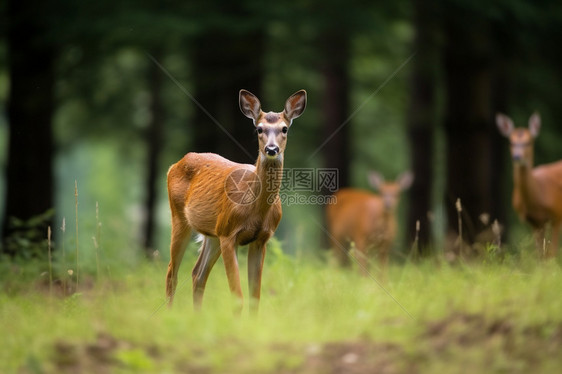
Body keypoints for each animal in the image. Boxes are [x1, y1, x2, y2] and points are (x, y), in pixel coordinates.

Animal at [165, 89, 306, 314]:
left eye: (284, 128)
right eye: (259, 129)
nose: (271, 149)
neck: (256, 209)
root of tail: (174, 165)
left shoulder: (261, 239)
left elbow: (255, 297)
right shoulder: (229, 234)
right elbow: (238, 296)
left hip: (212, 232)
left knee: (198, 274)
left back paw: (197, 315)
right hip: (181, 218)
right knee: (172, 271)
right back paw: (170, 314)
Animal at [494, 112, 560, 258]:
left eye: (528, 142)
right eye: (511, 142)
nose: (517, 157)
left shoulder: (557, 214)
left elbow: (551, 253)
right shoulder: (534, 222)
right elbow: (540, 254)